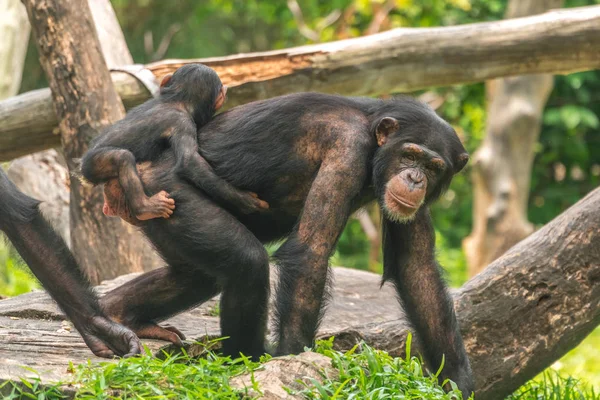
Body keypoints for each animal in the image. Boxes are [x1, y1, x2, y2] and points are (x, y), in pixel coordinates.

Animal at [80, 64, 268, 223]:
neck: (177, 100)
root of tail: (81, 168)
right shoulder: (184, 123)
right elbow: (190, 162)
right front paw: (245, 200)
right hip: (94, 164)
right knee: (123, 158)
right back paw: (145, 208)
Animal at [98, 92, 474, 396]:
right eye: (410, 155)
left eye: (433, 166)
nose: (415, 178)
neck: (375, 144)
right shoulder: (347, 148)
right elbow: (310, 251)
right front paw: (294, 361)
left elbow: (417, 267)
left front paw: (458, 383)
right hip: (168, 191)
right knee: (246, 262)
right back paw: (245, 361)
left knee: (197, 276)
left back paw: (116, 315)